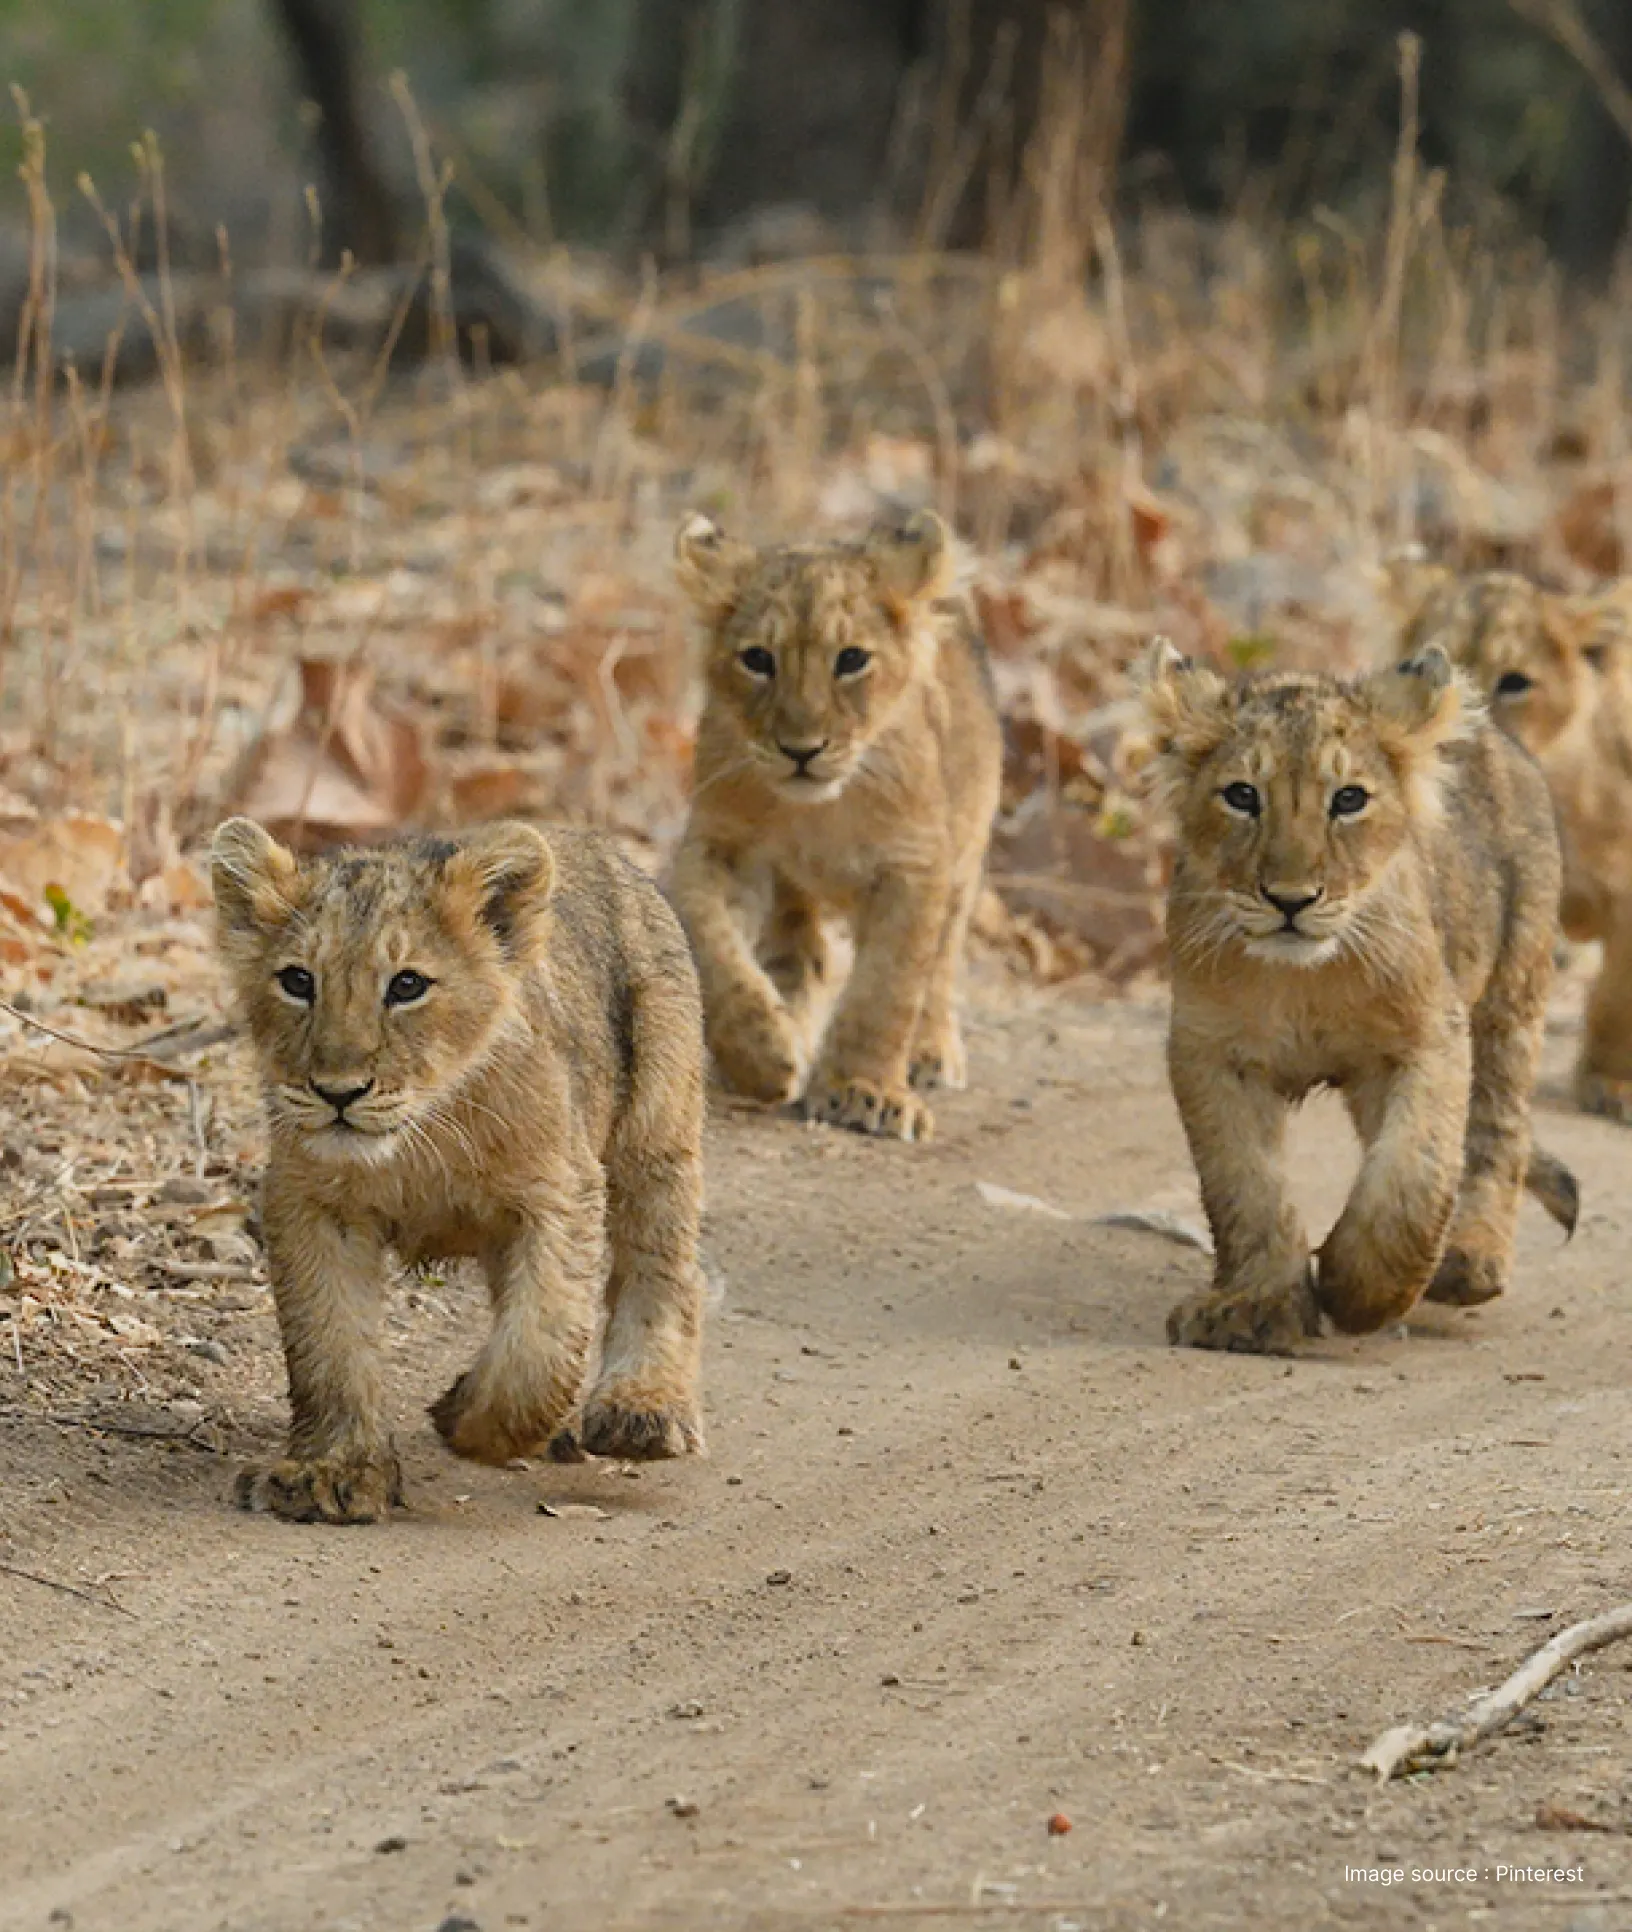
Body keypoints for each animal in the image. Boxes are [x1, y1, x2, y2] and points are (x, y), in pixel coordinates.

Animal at [211, 817, 709, 1524]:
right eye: (298, 981)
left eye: (407, 985)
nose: (338, 1092)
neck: (423, 1136)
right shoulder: (312, 1204)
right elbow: (329, 1346)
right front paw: (333, 1472)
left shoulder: (560, 1193)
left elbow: (542, 1342)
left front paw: (469, 1420)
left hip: (656, 1130)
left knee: (660, 1265)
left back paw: (642, 1409)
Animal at [669, 508, 1003, 1143]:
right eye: (757, 659)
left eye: (851, 659)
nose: (801, 750)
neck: (821, 813)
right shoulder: (720, 843)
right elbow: (710, 941)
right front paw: (760, 1053)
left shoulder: (914, 864)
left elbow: (887, 988)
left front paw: (866, 1091)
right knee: (804, 956)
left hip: (966, 853)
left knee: (941, 960)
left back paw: (929, 1052)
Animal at [1137, 641, 1578, 1353]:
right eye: (1241, 795)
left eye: (1348, 799)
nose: (1290, 899)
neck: (1305, 983)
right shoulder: (1210, 1051)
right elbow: (1244, 1185)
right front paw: (1253, 1307)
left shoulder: (1429, 1038)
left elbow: (1411, 1175)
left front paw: (1359, 1289)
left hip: (1513, 991)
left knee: (1495, 1133)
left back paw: (1468, 1260)